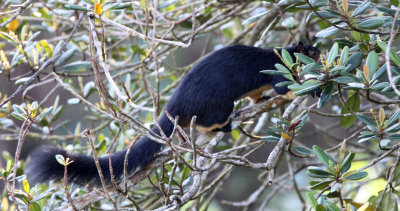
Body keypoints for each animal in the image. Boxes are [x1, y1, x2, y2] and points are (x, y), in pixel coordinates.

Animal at [26, 42, 322, 185]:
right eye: (313, 52)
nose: (321, 56)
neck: (284, 53)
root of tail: (175, 105)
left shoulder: (258, 87)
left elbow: (256, 95)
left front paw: (267, 97)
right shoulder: (277, 69)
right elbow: (284, 87)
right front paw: (311, 89)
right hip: (219, 104)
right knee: (209, 120)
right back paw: (220, 127)